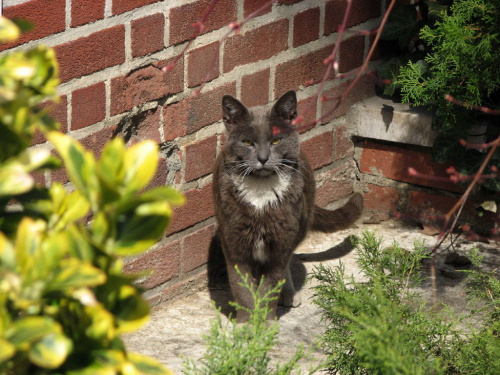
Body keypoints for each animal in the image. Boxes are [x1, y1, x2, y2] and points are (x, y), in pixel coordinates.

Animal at [212, 91, 364, 324]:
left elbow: (272, 283)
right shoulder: (234, 242)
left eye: (276, 140)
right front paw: (246, 323)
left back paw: (290, 294)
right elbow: (241, 286)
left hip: (298, 225)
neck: (261, 191)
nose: (263, 158)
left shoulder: (281, 241)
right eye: (247, 142)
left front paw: (265, 323)